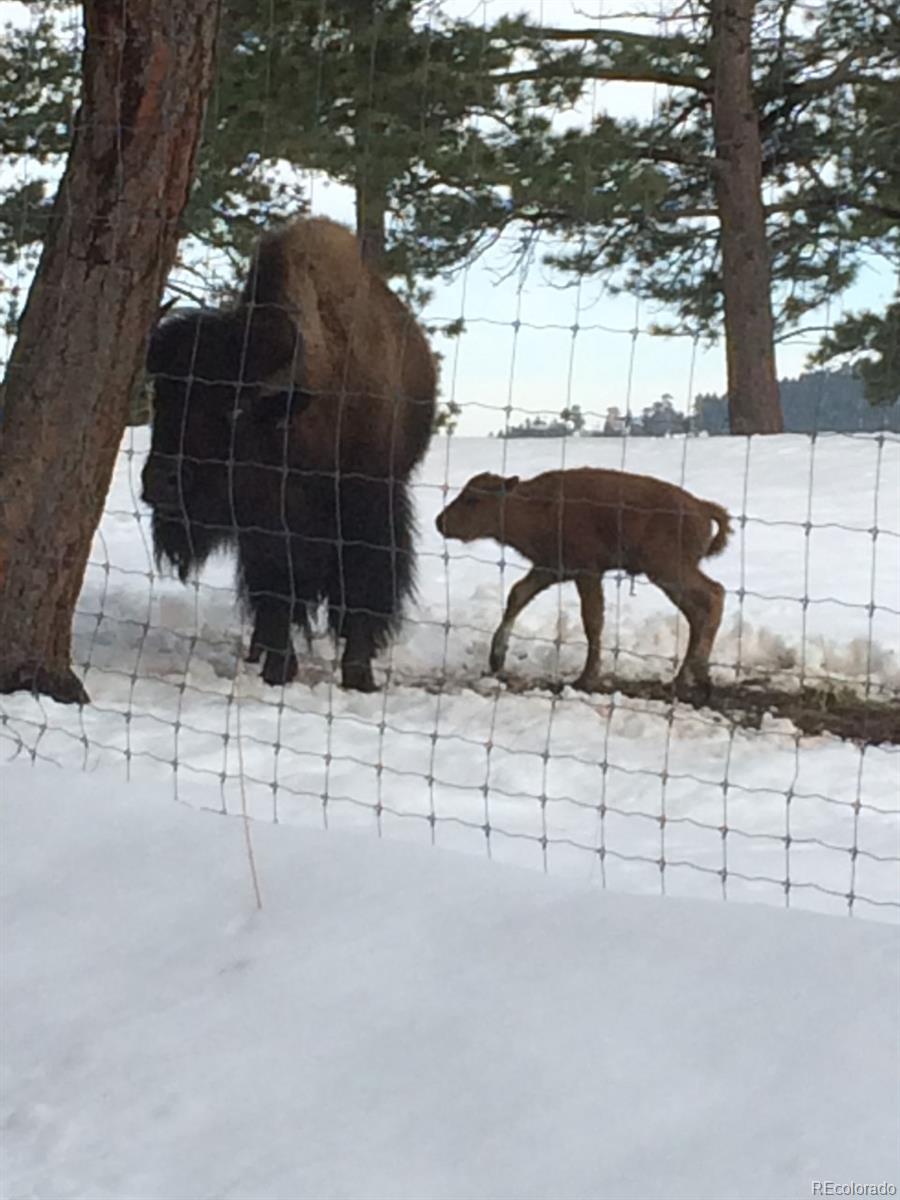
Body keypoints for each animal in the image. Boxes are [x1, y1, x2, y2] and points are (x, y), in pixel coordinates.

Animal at [141, 216, 436, 691]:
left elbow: (362, 591)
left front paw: (359, 675)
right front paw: (278, 671)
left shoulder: (371, 511)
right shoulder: (264, 531)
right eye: (160, 397)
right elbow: (276, 593)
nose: (159, 482)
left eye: (235, 408)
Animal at [436, 465, 734, 696]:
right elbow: (517, 595)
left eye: (473, 499)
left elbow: (592, 620)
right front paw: (496, 658)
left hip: (668, 570)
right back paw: (685, 677)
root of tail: (702, 508)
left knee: (714, 595)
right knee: (697, 612)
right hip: (668, 575)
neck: (534, 506)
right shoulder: (549, 569)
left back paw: (696, 674)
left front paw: (586, 678)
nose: (440, 522)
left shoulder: (586, 572)